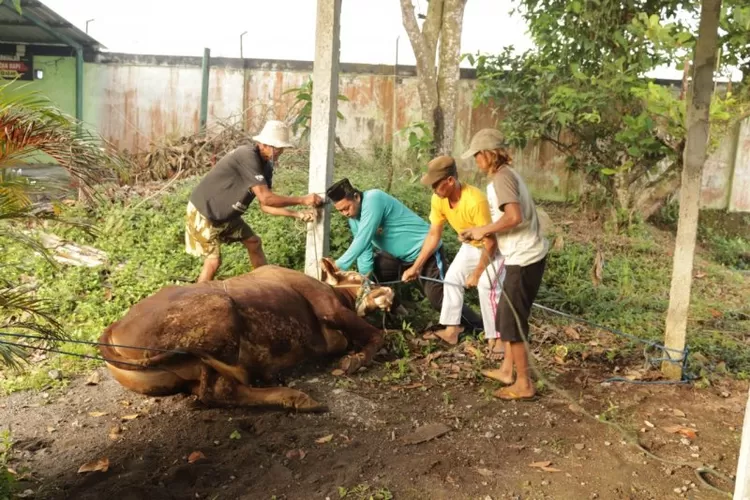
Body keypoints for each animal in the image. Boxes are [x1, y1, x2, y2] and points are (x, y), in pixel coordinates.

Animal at [97, 258, 395, 412]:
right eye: (357, 276)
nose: (388, 289)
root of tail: (114, 327)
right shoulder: (329, 308)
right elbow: (378, 335)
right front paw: (355, 360)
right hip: (219, 310)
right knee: (221, 386)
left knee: (220, 391)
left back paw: (295, 397)